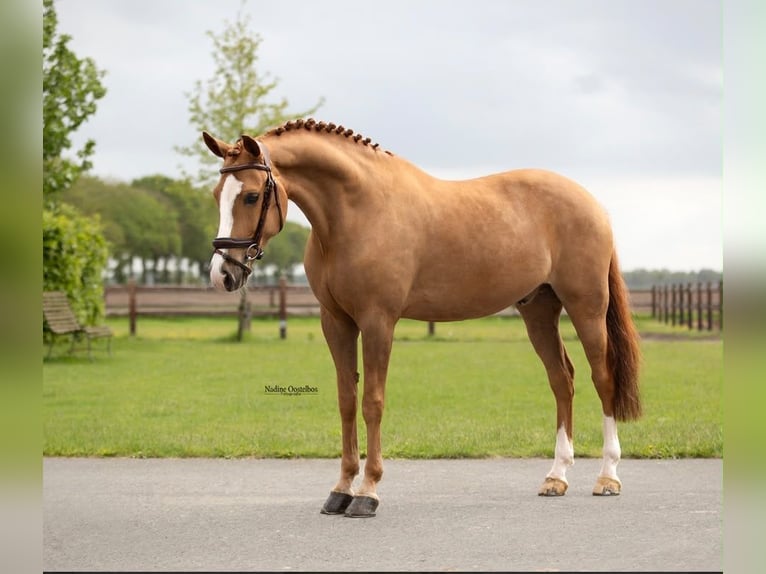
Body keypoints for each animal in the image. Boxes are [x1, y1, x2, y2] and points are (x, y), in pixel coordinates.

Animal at [203, 118, 641, 518]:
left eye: (251, 196)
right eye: (216, 194)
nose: (223, 273)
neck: (357, 212)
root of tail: (590, 202)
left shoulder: (378, 321)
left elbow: (372, 402)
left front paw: (367, 492)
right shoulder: (336, 322)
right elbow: (347, 401)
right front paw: (340, 490)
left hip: (586, 307)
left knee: (602, 378)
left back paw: (608, 477)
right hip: (538, 310)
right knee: (562, 380)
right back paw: (556, 476)